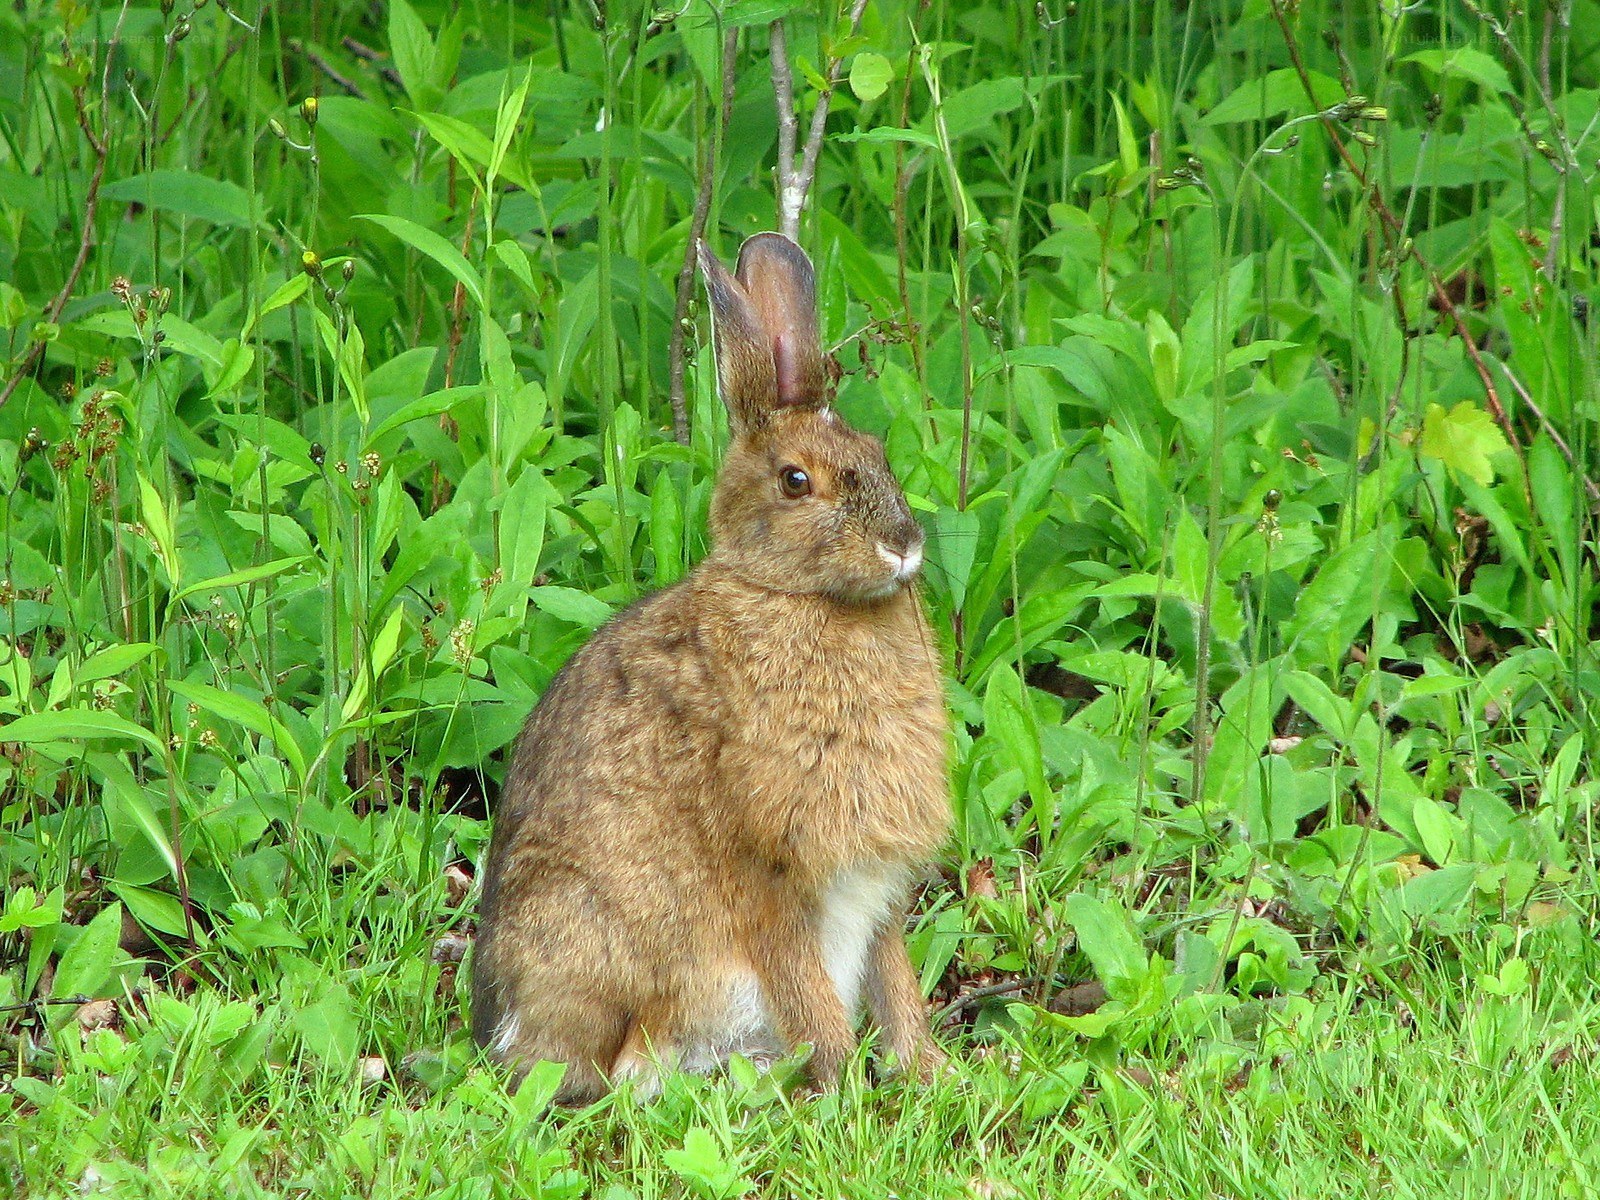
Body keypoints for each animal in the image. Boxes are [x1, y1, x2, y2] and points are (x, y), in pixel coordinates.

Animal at [470, 231, 951, 1104]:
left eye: (877, 454)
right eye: (796, 481)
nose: (903, 545)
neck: (793, 596)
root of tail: (506, 1037)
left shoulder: (876, 888)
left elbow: (897, 986)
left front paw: (928, 1073)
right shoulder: (774, 875)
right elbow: (814, 998)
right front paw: (850, 1090)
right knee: (630, 1068)